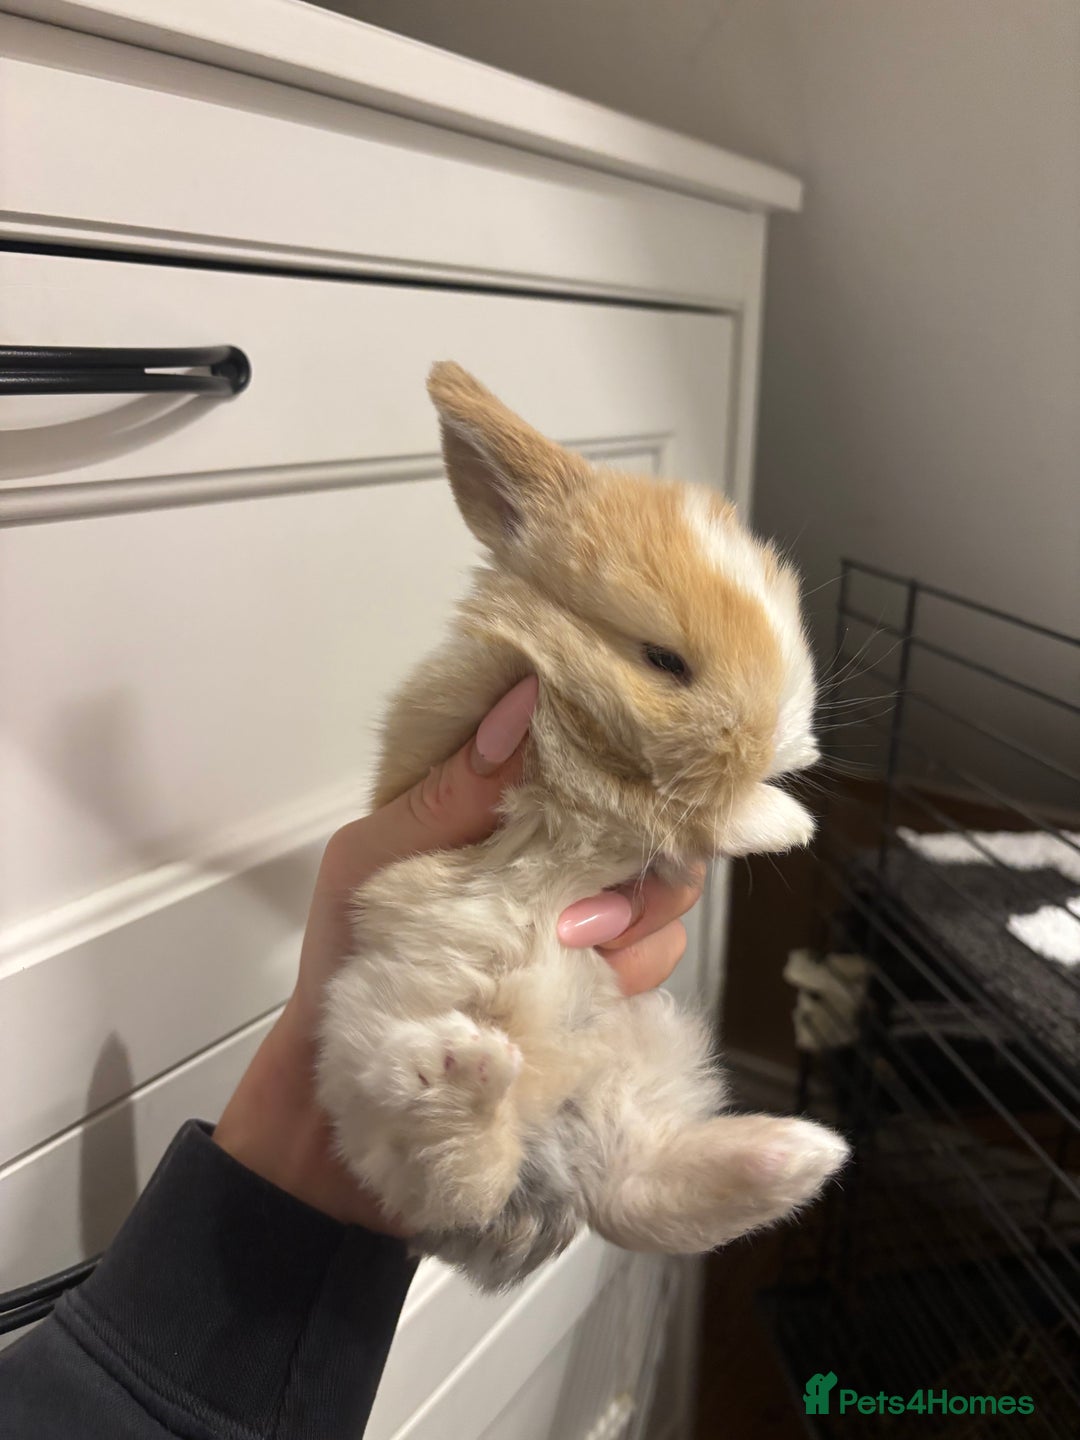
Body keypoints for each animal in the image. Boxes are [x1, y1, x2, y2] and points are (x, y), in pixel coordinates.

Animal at [316, 362, 850, 1290]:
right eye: (664, 660)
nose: (784, 741)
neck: (551, 667)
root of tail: (552, 1159)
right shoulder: (531, 742)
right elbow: (676, 805)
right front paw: (782, 821)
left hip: (636, 1071)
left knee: (636, 1192)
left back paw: (800, 1152)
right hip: (364, 1049)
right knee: (448, 1176)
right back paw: (465, 1076)